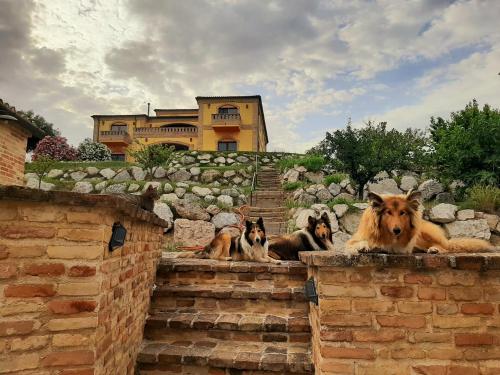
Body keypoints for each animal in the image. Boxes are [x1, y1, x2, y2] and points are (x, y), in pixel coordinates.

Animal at [346, 191, 494, 256]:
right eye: (388, 212)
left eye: (402, 213)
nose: (397, 230)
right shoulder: (354, 240)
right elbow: (358, 243)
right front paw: (364, 246)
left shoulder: (401, 247)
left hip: (424, 235)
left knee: (445, 248)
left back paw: (435, 249)